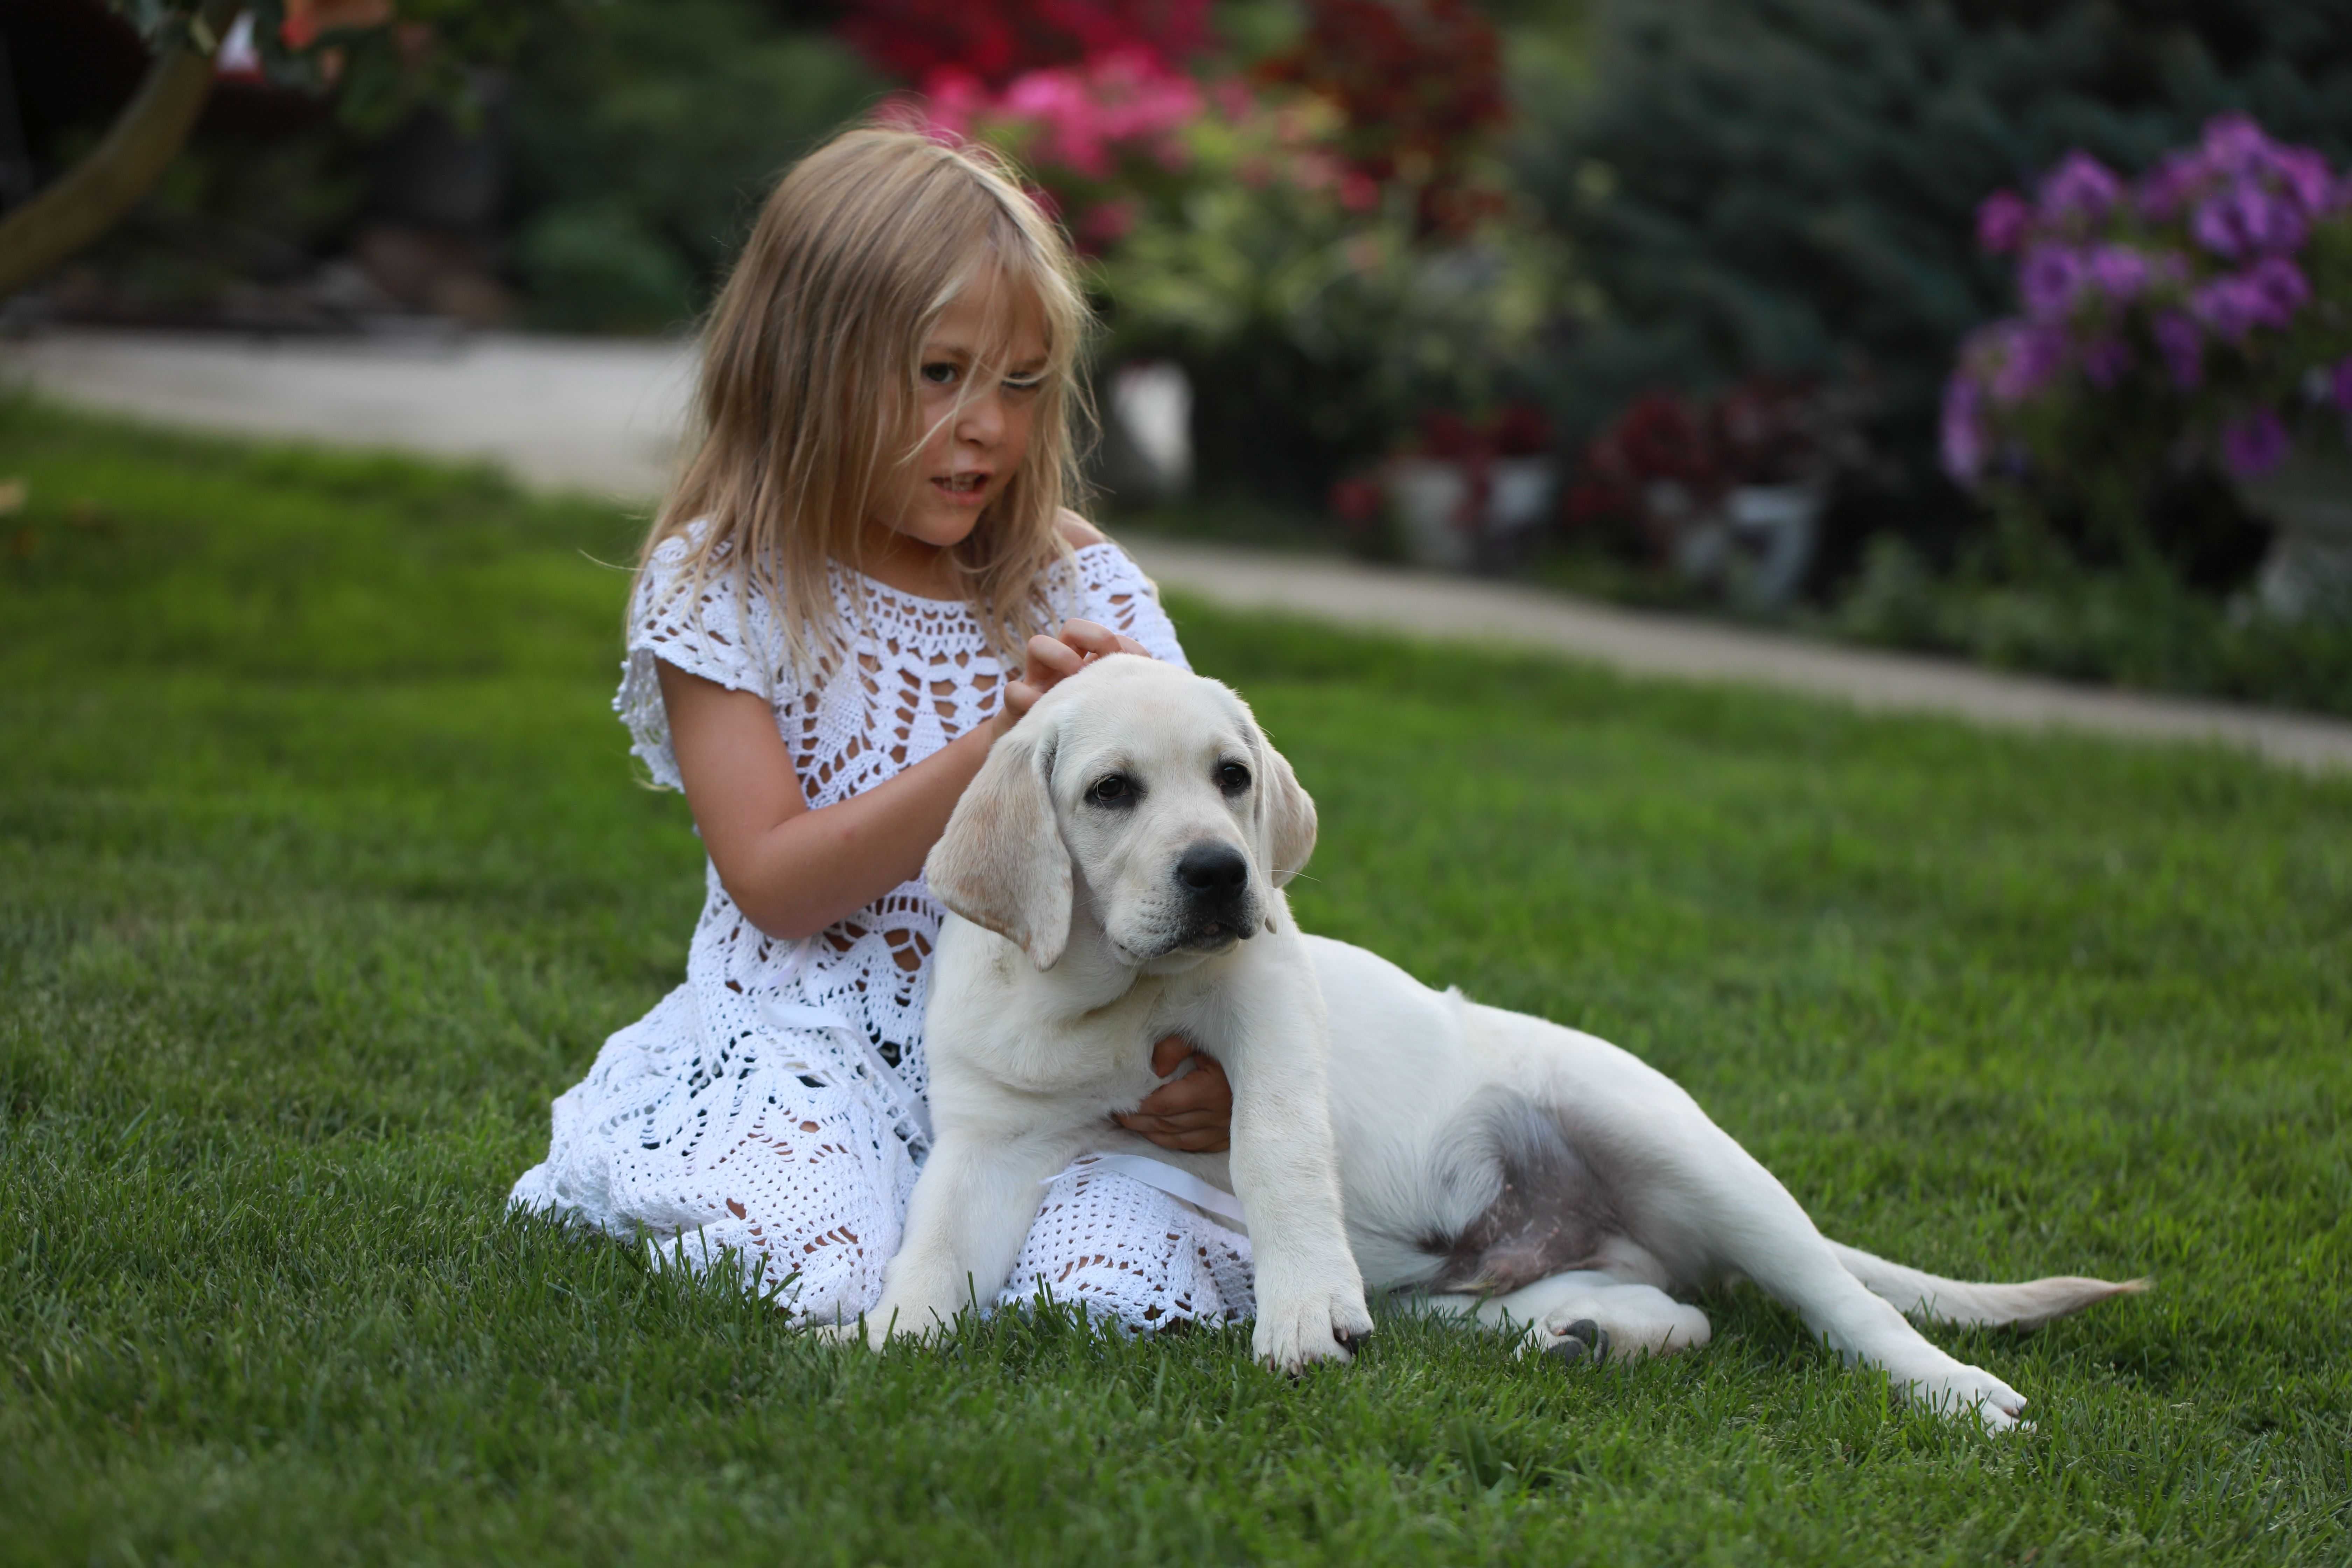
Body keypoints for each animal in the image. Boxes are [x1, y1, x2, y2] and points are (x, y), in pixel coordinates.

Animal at [870, 658, 2154, 1429]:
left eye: (1231, 779)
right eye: (1111, 793)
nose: (1222, 873)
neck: (1102, 997)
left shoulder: (1267, 996)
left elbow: (1276, 1149)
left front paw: (1300, 1311)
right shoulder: (986, 1147)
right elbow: (933, 1252)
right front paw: (881, 1342)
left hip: (1669, 1140)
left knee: (1847, 1304)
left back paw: (1954, 1391)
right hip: (1479, 1291)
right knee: (1679, 1313)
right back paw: (1592, 1335)